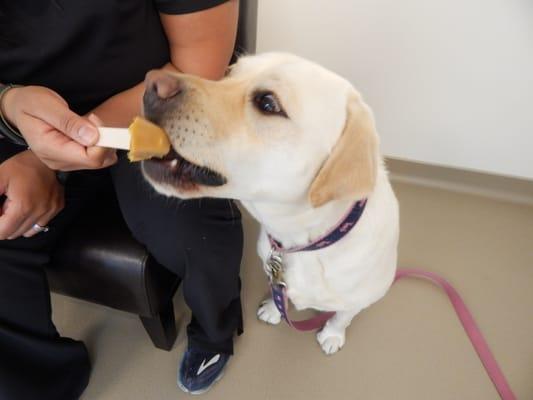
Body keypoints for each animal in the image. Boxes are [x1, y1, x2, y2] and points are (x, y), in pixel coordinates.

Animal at [141, 52, 400, 354]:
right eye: (229, 72)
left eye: (267, 103)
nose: (151, 82)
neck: (303, 241)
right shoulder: (273, 271)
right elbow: (279, 294)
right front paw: (274, 311)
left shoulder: (361, 297)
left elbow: (343, 315)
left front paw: (332, 335)